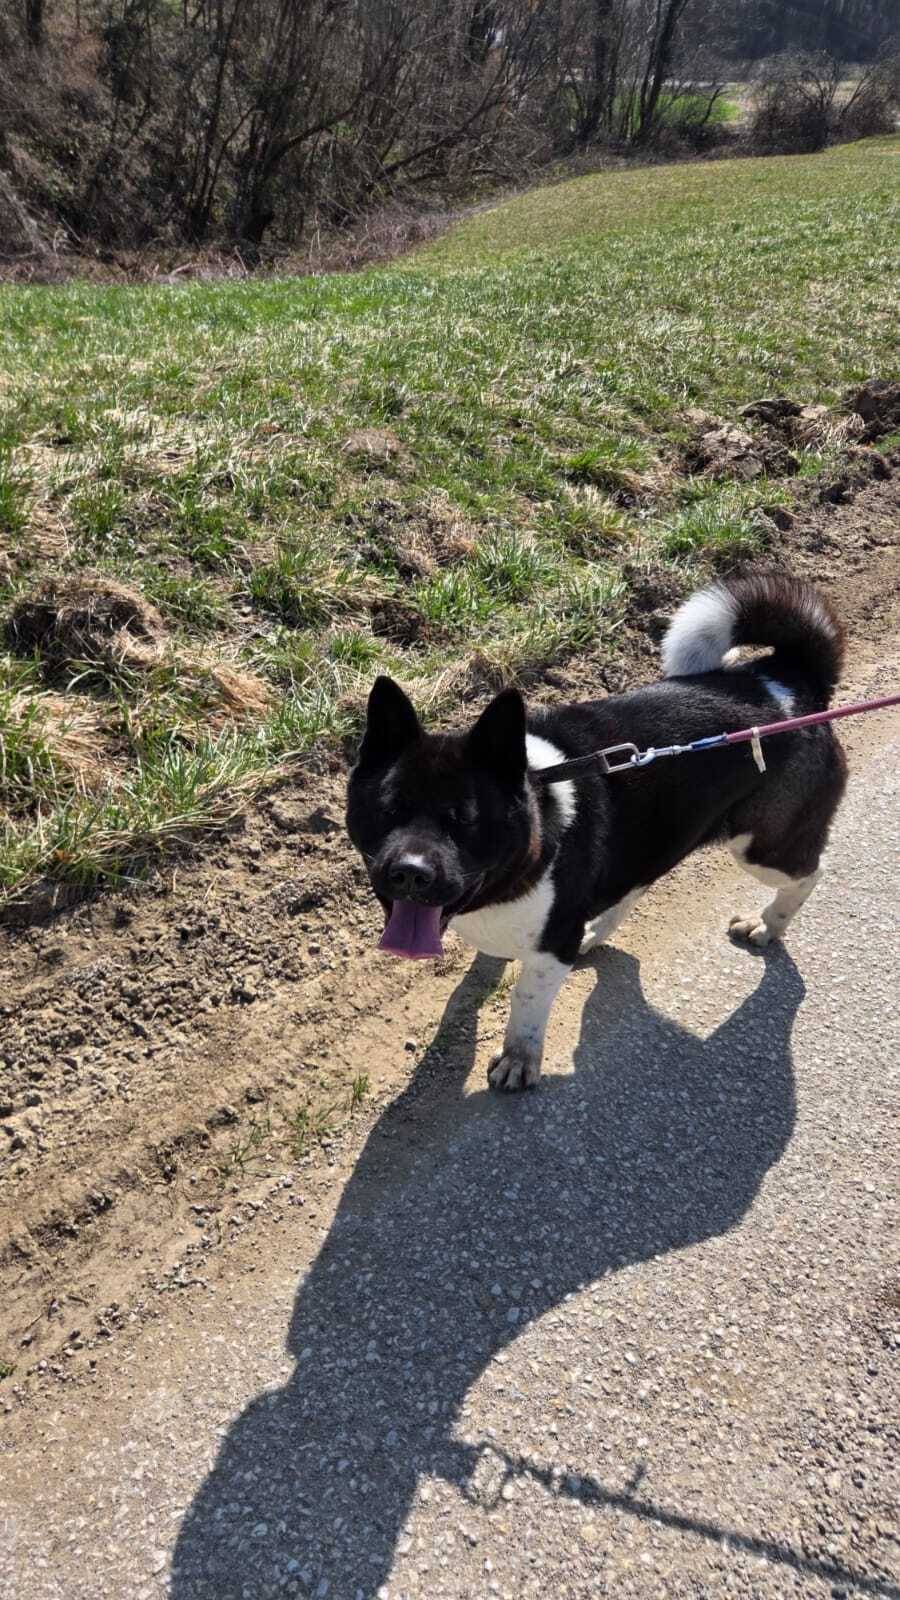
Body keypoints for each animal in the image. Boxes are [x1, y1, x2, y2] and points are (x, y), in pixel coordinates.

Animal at [346, 570, 847, 1091]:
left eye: (465, 819)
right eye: (387, 809)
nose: (410, 873)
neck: (537, 811)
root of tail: (787, 680)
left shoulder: (549, 952)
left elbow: (526, 1003)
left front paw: (519, 1059)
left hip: (761, 845)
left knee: (811, 872)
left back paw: (768, 924)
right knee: (638, 882)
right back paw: (598, 930)